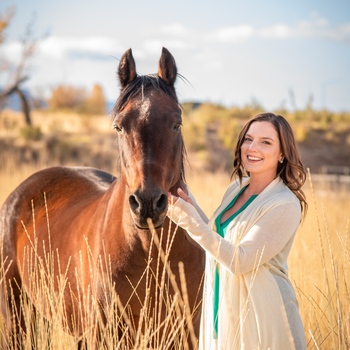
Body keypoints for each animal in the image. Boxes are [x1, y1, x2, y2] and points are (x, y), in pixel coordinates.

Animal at [0, 47, 204, 348]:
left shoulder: (185, 335)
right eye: (119, 127)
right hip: (17, 317)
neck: (151, 254)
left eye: (176, 124)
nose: (147, 204)